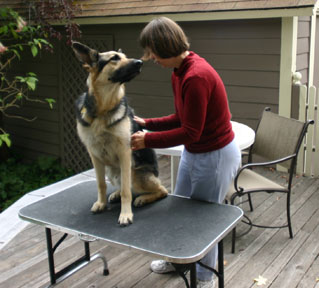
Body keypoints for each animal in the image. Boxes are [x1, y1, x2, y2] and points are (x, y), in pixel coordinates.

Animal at [71, 42, 169, 226]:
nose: (140, 62)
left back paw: (142, 198)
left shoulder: (124, 153)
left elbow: (126, 191)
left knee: (161, 190)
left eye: (125, 56)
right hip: (111, 171)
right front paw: (101, 203)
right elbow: (100, 184)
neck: (103, 109)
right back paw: (115, 194)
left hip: (135, 174)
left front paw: (125, 214)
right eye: (114, 58)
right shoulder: (94, 155)